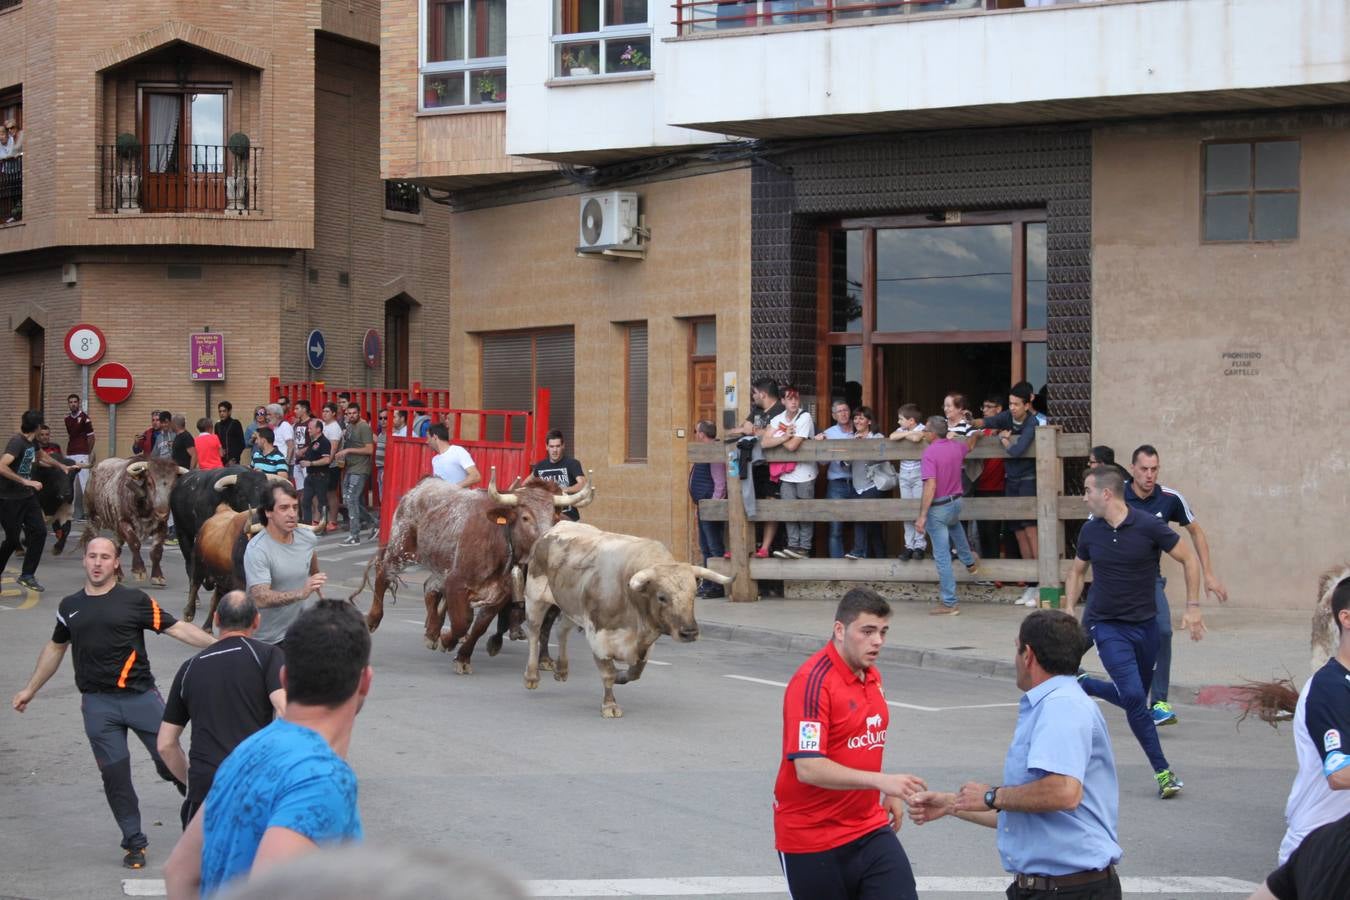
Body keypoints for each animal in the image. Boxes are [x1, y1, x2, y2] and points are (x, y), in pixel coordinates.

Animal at [79, 453, 189, 588]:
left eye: (173, 486)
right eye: (149, 483)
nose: (162, 512)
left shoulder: (162, 526)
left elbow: (157, 551)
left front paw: (157, 576)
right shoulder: (123, 523)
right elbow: (135, 543)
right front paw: (139, 570)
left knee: (116, 547)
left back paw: (117, 574)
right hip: (93, 517)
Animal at [353, 469, 591, 671]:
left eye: (554, 518)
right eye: (525, 517)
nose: (548, 546)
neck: (499, 541)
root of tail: (426, 483)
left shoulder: (498, 595)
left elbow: (479, 626)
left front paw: (462, 657)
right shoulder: (456, 583)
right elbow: (462, 622)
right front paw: (448, 640)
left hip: (441, 565)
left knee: (429, 587)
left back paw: (431, 632)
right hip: (401, 548)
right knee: (383, 572)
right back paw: (373, 619)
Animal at [521, 520, 734, 717]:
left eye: (693, 594)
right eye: (661, 597)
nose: (689, 632)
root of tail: (554, 528)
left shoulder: (645, 644)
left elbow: (635, 672)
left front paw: (620, 676)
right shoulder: (599, 637)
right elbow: (607, 673)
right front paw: (610, 705)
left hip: (571, 607)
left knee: (562, 630)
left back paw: (562, 670)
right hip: (534, 597)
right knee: (534, 633)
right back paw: (531, 676)